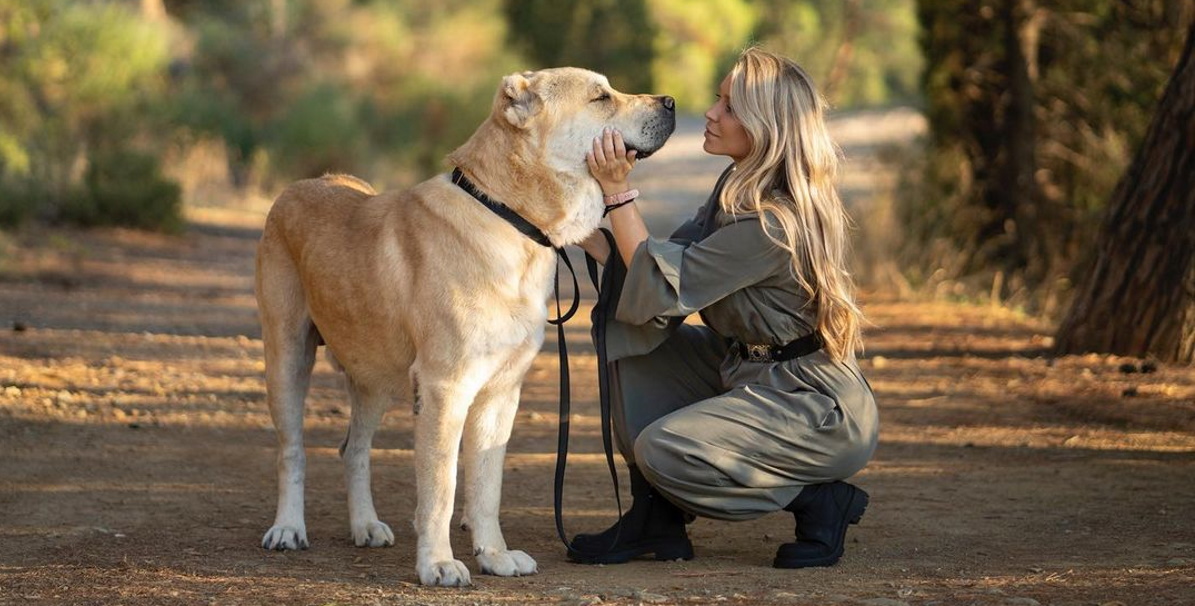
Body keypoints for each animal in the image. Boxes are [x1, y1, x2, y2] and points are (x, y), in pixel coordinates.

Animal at [256, 67, 678, 588]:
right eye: (601, 97)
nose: (672, 102)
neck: (509, 216)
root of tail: (303, 183)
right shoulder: (445, 389)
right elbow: (442, 486)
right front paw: (438, 563)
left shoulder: (501, 393)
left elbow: (486, 485)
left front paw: (494, 555)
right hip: (287, 358)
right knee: (291, 450)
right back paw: (288, 528)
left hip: (372, 378)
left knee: (353, 449)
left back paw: (366, 526)